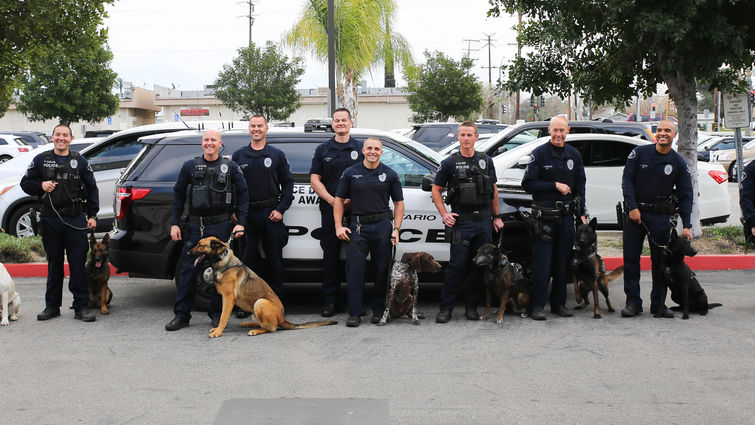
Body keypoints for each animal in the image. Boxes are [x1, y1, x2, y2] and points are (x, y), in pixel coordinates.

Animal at [189, 235, 336, 338]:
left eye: (200, 245)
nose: (187, 252)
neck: (221, 260)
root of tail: (282, 318)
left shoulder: (228, 298)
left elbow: (223, 317)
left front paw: (218, 331)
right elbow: (222, 316)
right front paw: (217, 330)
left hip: (260, 302)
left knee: (272, 327)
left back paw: (255, 330)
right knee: (265, 323)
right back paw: (249, 324)